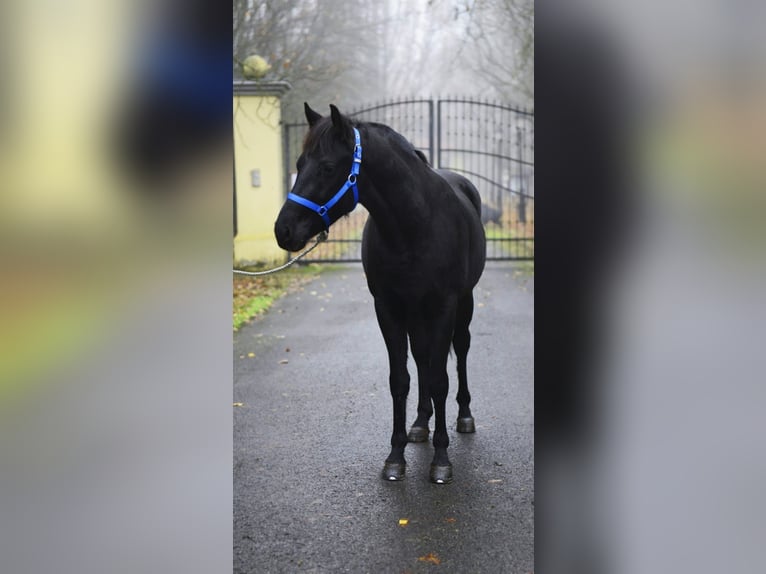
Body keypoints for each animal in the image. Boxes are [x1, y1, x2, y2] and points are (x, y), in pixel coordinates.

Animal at [274, 103, 486, 484]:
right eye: (299, 163)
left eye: (327, 166)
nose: (283, 230)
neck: (414, 224)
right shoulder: (388, 308)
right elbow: (400, 379)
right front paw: (396, 456)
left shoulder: (443, 307)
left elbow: (440, 379)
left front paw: (441, 459)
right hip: (415, 313)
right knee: (421, 357)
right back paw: (420, 423)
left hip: (464, 303)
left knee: (459, 350)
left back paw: (464, 416)